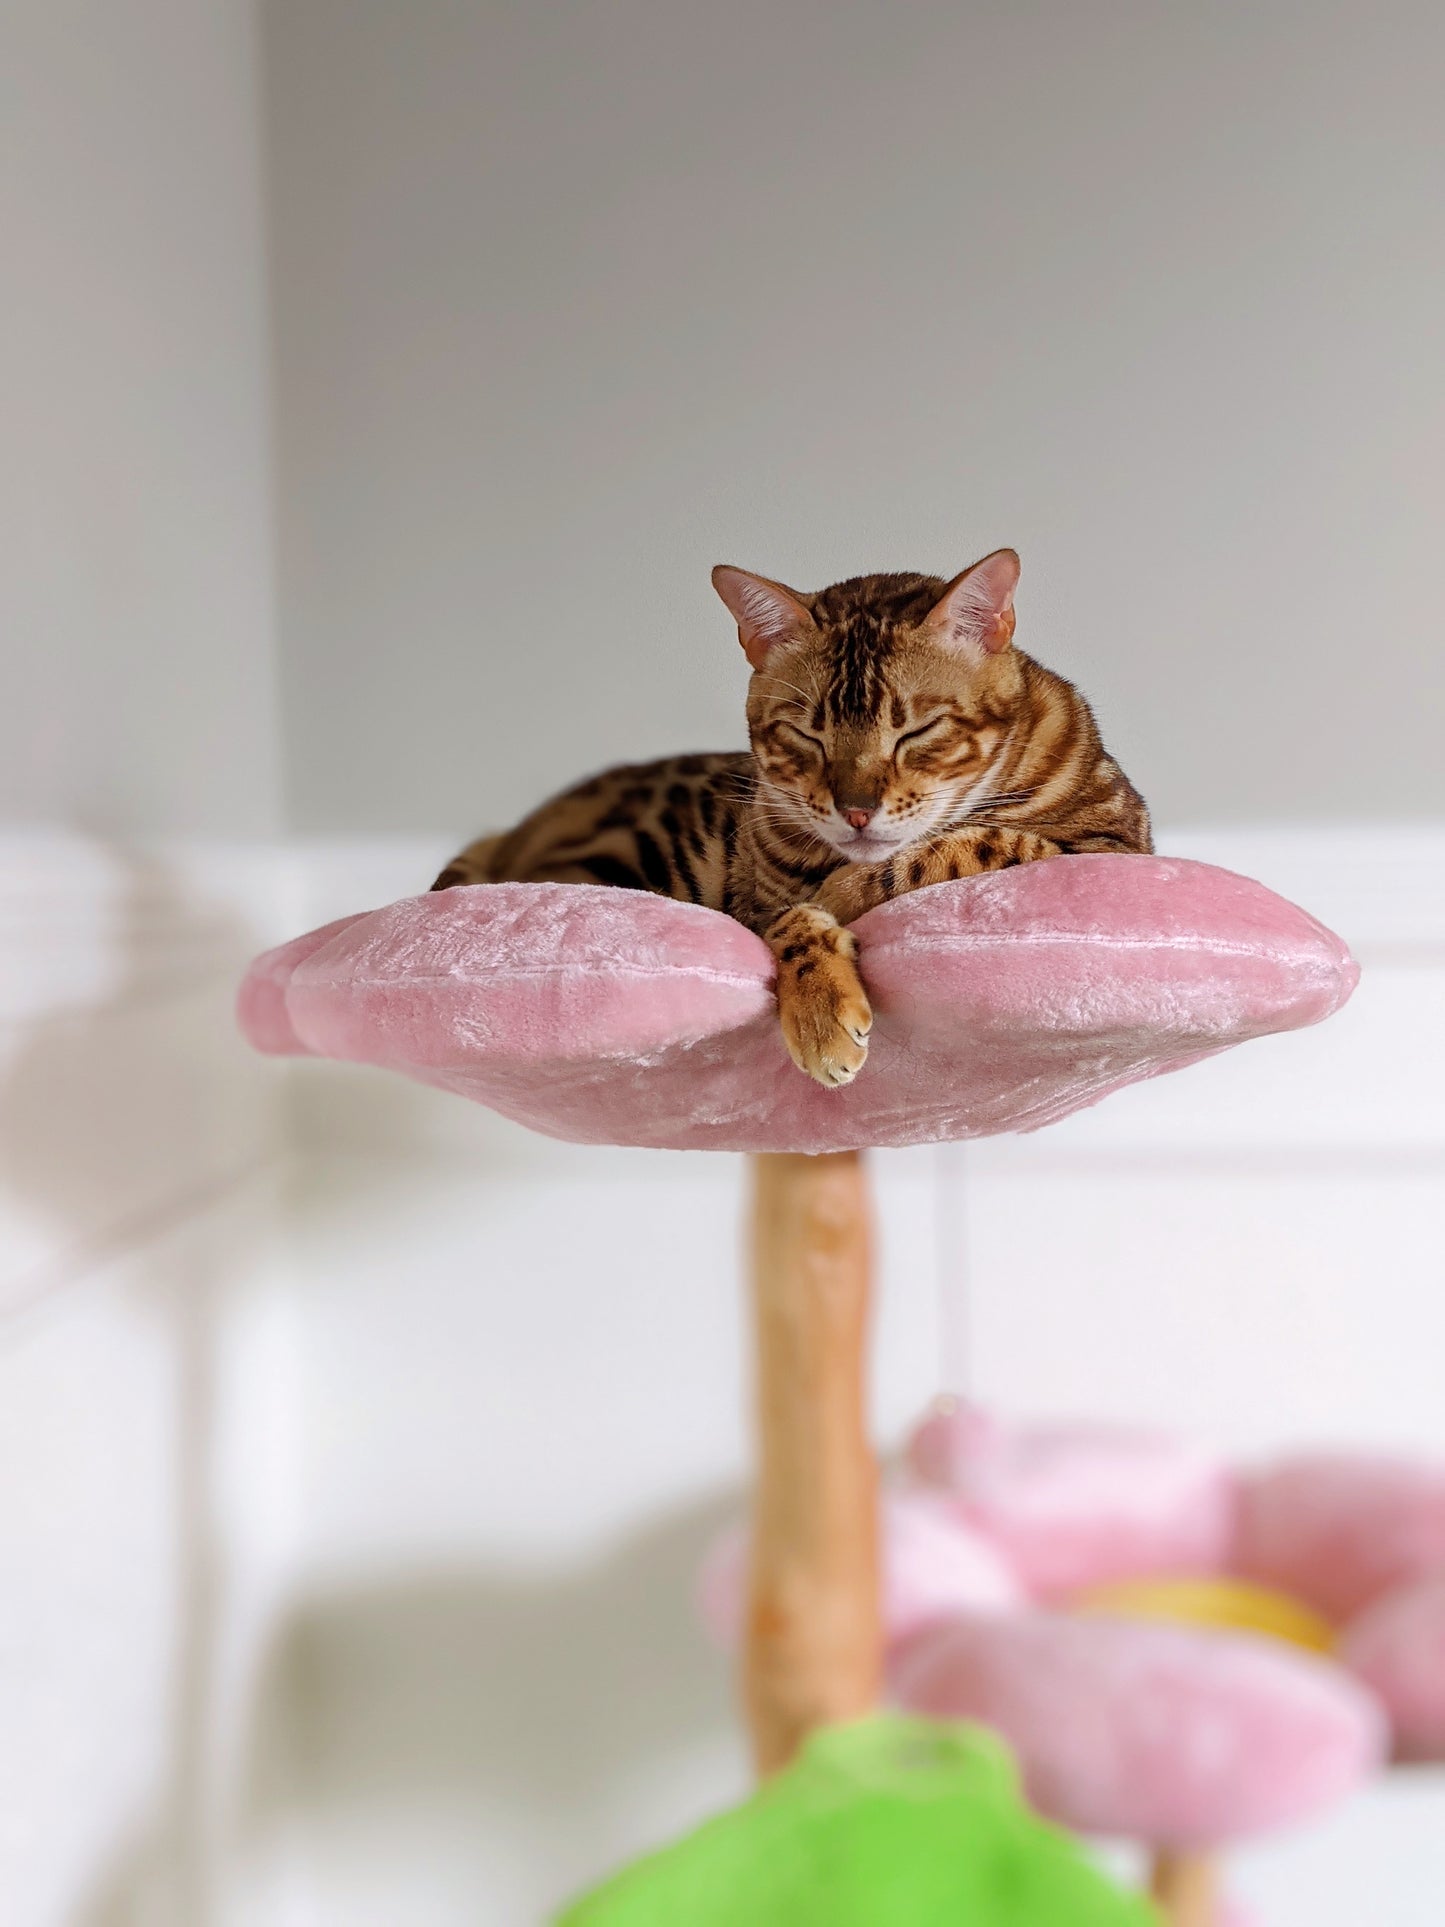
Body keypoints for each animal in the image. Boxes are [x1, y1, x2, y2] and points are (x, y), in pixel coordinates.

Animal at [429, 551, 1156, 1094]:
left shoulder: (1113, 845)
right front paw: (819, 1006)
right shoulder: (754, 901)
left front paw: (844, 892)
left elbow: (957, 846)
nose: (856, 810)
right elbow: (789, 922)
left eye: (916, 731)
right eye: (806, 736)